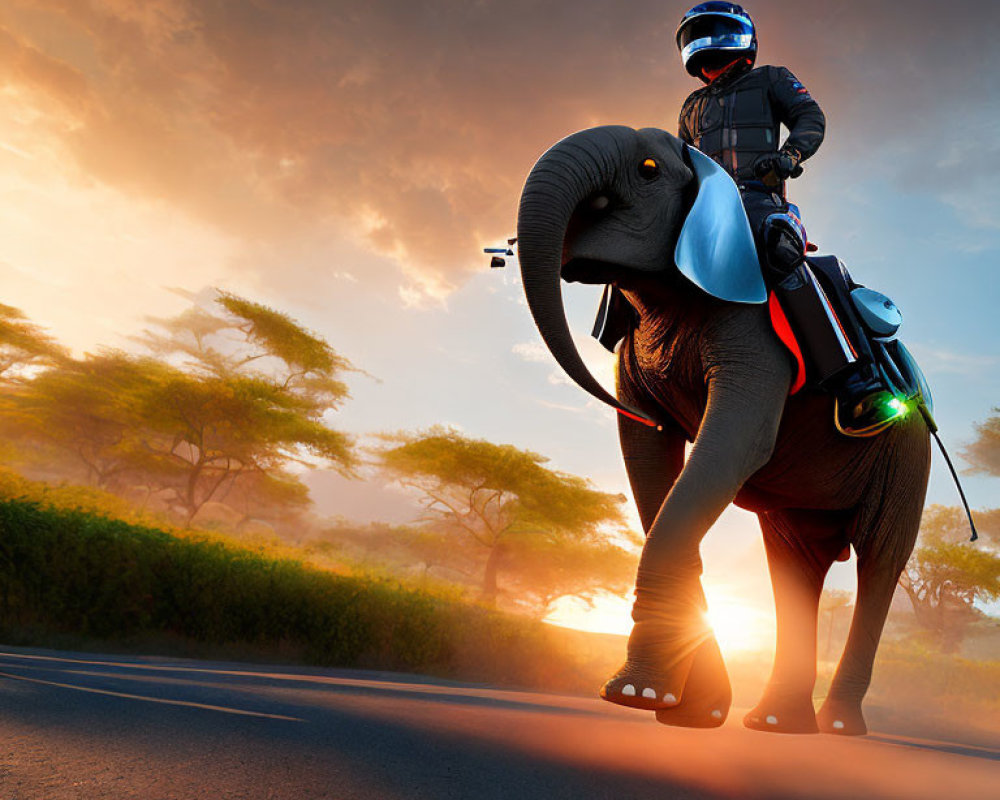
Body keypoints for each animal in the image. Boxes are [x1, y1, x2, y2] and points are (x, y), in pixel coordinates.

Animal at [516, 126, 928, 736]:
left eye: (646, 170)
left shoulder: (757, 333)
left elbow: (734, 445)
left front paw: (633, 695)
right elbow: (647, 455)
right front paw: (688, 710)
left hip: (906, 459)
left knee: (880, 559)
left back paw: (834, 729)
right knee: (793, 566)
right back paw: (775, 724)